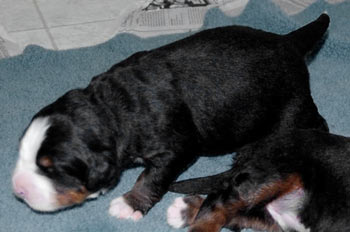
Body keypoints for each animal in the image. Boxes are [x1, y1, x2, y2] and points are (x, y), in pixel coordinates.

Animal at [10, 13, 328, 220]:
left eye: (52, 170)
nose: (18, 190)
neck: (113, 106)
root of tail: (289, 42)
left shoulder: (176, 149)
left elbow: (151, 179)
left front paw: (129, 205)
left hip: (290, 113)